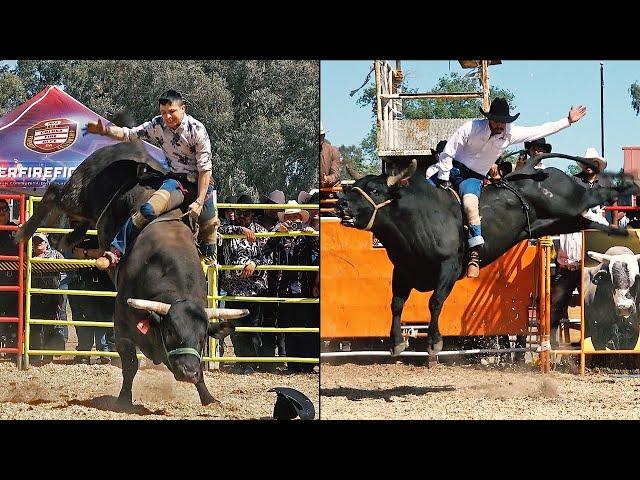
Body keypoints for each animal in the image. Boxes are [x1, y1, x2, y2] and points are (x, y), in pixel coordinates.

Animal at [16, 141, 248, 406]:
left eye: (201, 338)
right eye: (171, 331)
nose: (188, 372)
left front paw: (208, 397)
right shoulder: (122, 327)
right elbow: (130, 364)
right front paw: (124, 400)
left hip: (88, 214)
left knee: (70, 231)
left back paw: (70, 240)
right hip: (78, 194)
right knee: (54, 192)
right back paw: (23, 232)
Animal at [338, 153, 636, 356]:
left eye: (375, 190)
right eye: (352, 187)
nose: (341, 204)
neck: (416, 219)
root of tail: (531, 169)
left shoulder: (448, 268)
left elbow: (435, 302)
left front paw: (434, 342)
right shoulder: (402, 271)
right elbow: (396, 304)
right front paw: (397, 342)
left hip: (574, 201)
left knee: (600, 192)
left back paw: (630, 188)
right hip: (561, 221)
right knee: (590, 220)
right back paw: (619, 231)